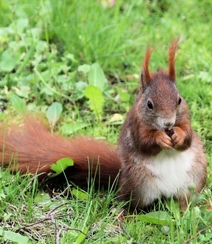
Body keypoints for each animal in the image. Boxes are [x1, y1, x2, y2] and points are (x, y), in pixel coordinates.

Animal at [0, 39, 207, 210]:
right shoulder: (135, 125)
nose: (169, 122)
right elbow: (144, 142)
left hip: (195, 178)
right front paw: (159, 138)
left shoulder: (185, 119)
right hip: (139, 185)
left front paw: (178, 134)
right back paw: (123, 216)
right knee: (130, 205)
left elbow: (188, 137)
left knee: (184, 202)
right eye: (149, 104)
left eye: (179, 100)